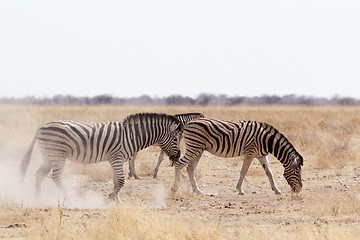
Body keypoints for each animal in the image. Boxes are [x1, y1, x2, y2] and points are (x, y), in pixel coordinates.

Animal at [20, 112, 181, 201]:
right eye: (175, 139)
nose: (178, 156)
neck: (131, 136)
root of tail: (41, 127)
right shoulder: (116, 158)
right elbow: (121, 181)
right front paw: (110, 199)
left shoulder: (119, 160)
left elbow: (116, 181)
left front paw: (117, 200)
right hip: (58, 155)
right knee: (56, 177)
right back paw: (68, 198)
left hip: (48, 156)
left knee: (39, 174)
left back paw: (37, 199)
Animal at [172, 117, 304, 195]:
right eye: (296, 172)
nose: (299, 190)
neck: (266, 140)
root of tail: (187, 123)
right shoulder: (250, 152)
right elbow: (244, 171)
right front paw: (240, 189)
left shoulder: (261, 155)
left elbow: (269, 172)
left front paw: (276, 189)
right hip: (194, 147)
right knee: (179, 164)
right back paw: (175, 188)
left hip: (198, 149)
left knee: (190, 168)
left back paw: (198, 191)